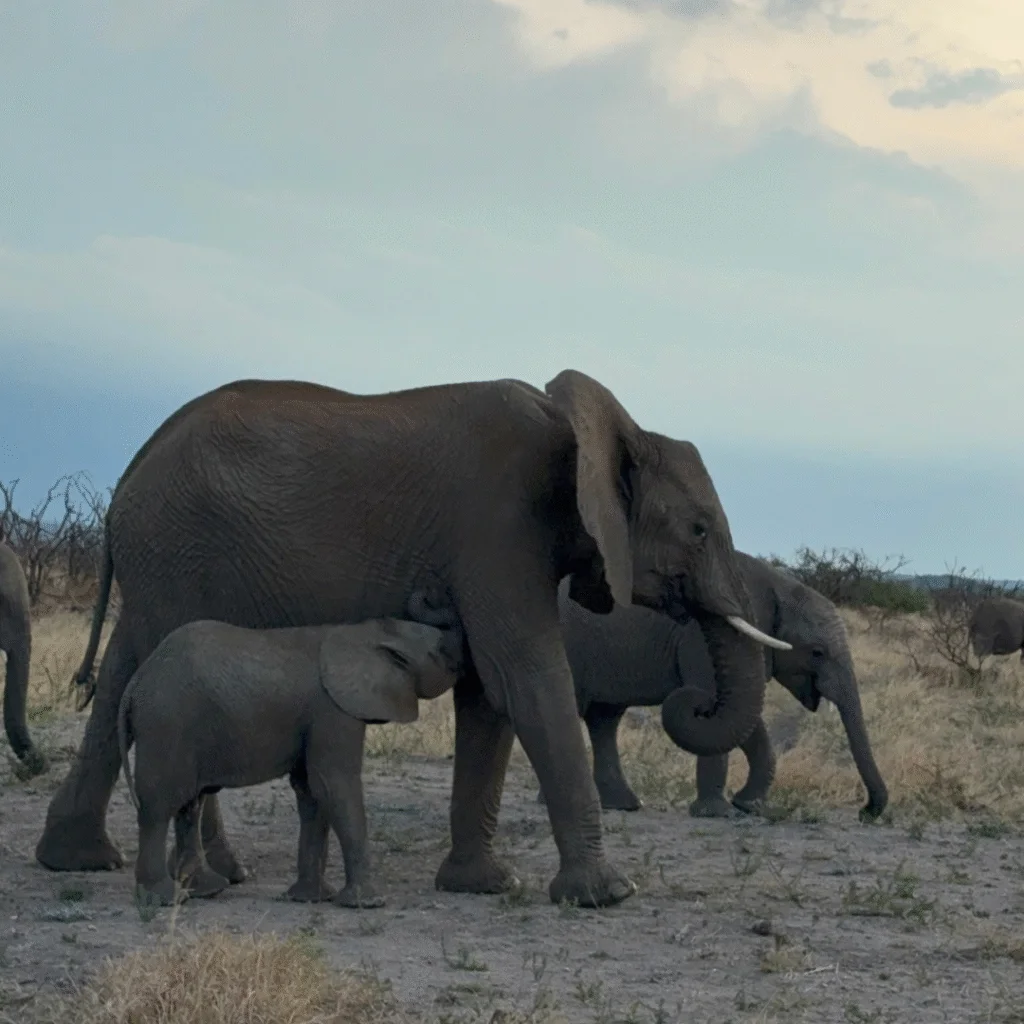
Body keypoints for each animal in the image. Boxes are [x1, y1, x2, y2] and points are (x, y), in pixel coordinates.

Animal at [118, 612, 464, 909]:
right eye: (441, 650)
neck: (365, 632)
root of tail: (135, 684)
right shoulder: (332, 709)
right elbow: (333, 785)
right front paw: (366, 904)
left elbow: (311, 792)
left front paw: (309, 899)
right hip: (167, 724)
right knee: (159, 807)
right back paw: (166, 900)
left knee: (189, 804)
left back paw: (207, 891)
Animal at [543, 550, 888, 821]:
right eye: (817, 652)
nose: (865, 812)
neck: (780, 585)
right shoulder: (704, 636)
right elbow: (723, 709)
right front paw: (718, 812)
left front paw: (748, 806)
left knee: (604, 720)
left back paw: (623, 806)